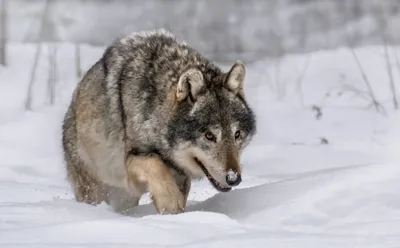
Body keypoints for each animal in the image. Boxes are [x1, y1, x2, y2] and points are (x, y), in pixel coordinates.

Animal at [61, 29, 258, 214]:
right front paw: (170, 208)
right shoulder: (133, 157)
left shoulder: (180, 176)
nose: (233, 178)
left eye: (237, 134)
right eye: (209, 135)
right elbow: (156, 166)